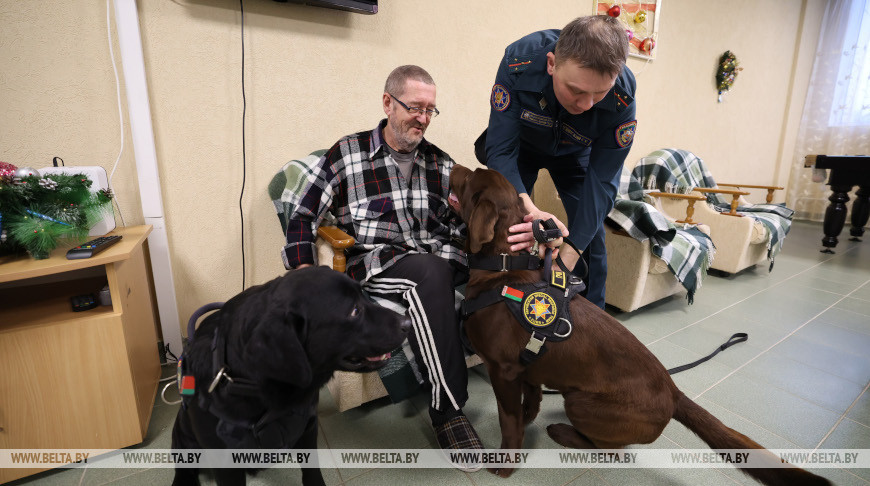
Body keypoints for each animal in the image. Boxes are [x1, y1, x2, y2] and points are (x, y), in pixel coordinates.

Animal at [175, 266, 416, 486]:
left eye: (363, 295)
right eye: (354, 311)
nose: (408, 322)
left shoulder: (308, 427)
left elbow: (312, 471)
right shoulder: (225, 463)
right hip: (184, 436)